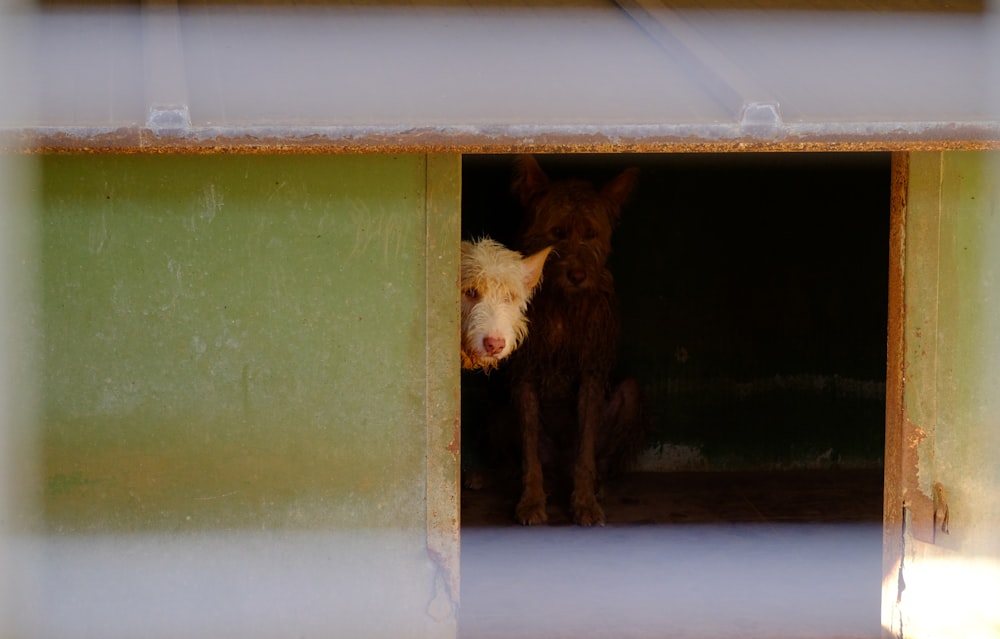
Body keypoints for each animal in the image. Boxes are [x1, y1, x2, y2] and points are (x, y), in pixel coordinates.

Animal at [512, 155, 644, 524]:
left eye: (591, 234)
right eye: (556, 233)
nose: (577, 275)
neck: (563, 302)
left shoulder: (591, 373)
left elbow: (585, 452)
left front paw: (584, 501)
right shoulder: (525, 375)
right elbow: (528, 451)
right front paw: (531, 500)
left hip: (630, 394)